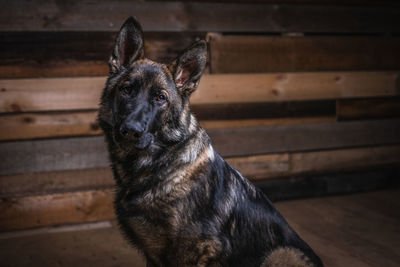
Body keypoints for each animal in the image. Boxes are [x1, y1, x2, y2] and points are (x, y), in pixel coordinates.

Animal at [98, 17, 324, 267]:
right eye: (126, 90)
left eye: (160, 98)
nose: (131, 131)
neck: (160, 163)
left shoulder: (191, 253)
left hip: (282, 252)